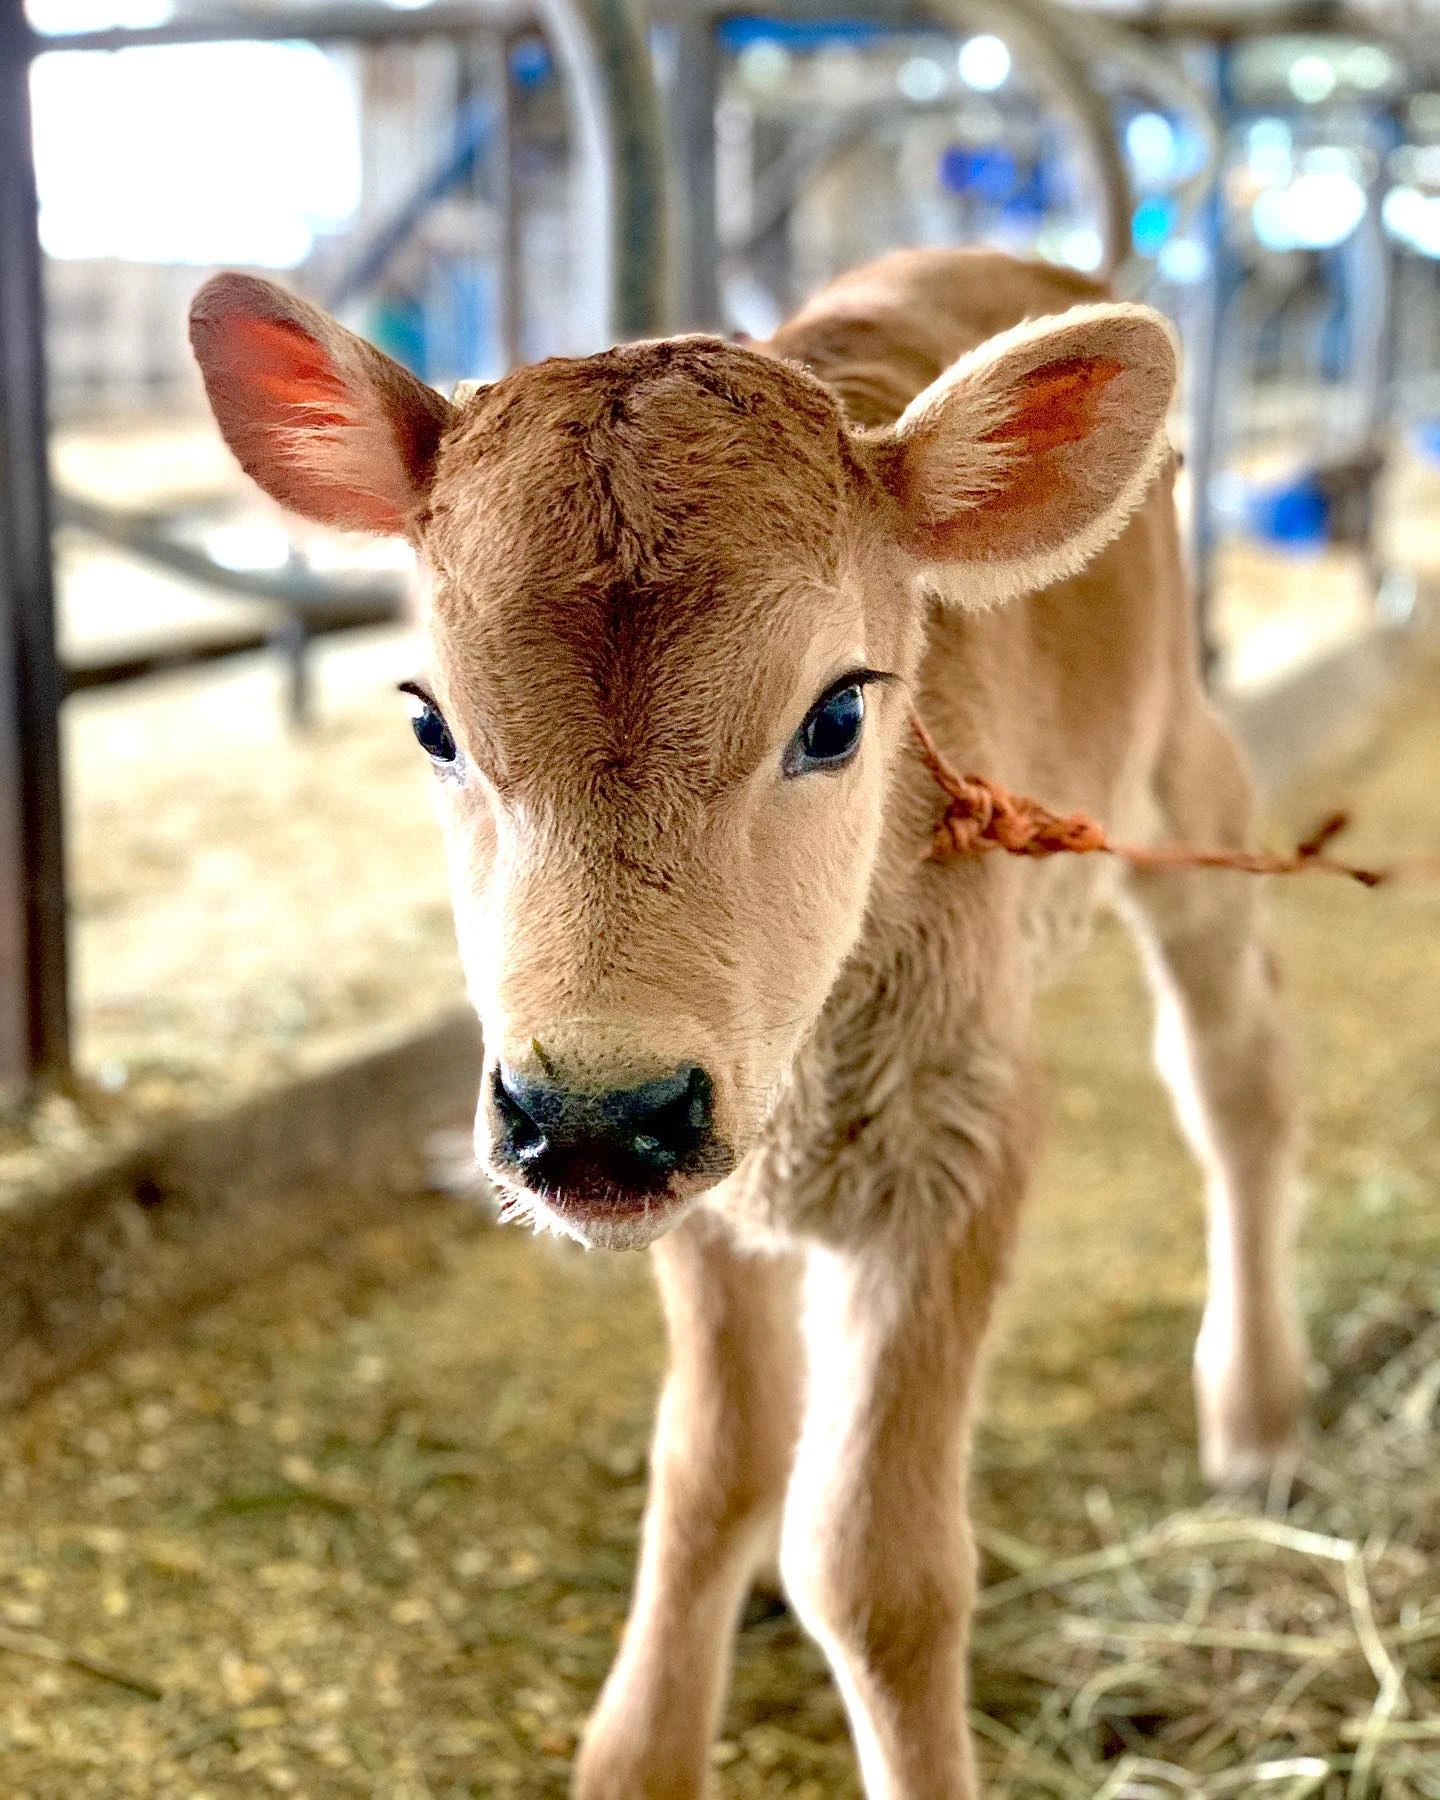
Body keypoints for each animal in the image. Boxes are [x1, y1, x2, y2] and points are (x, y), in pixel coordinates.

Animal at [190, 248, 1305, 1799]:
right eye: (429, 722)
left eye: (836, 716)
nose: (595, 1111)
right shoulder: (697, 1202)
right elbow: (707, 1472)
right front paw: (640, 1752)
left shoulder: (960, 1147)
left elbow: (882, 1573)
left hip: (1178, 788)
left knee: (1233, 1074)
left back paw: (1255, 1417)